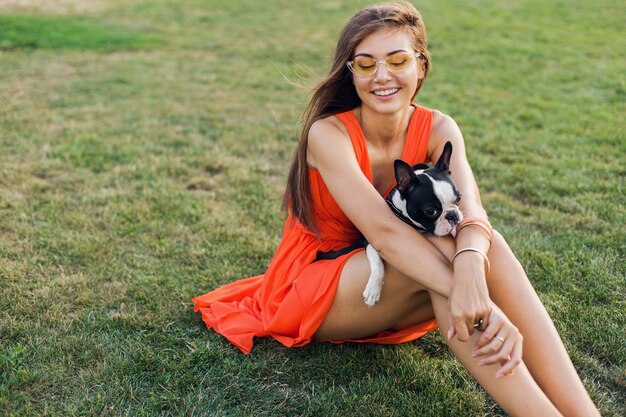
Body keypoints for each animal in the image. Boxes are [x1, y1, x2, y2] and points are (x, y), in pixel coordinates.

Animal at [314, 140, 460, 306]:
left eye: (459, 199)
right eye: (431, 211)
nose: (453, 216)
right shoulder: (371, 241)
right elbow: (378, 263)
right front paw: (373, 289)